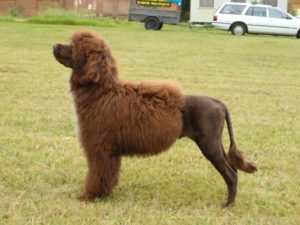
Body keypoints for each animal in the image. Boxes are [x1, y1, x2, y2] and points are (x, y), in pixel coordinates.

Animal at [52, 30, 256, 207]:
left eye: (74, 47)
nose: (54, 45)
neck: (101, 93)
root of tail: (219, 103)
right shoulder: (111, 151)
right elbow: (109, 174)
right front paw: (105, 194)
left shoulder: (100, 148)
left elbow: (98, 175)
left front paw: (90, 196)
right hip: (215, 143)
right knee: (233, 170)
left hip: (209, 144)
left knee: (231, 174)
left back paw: (228, 204)